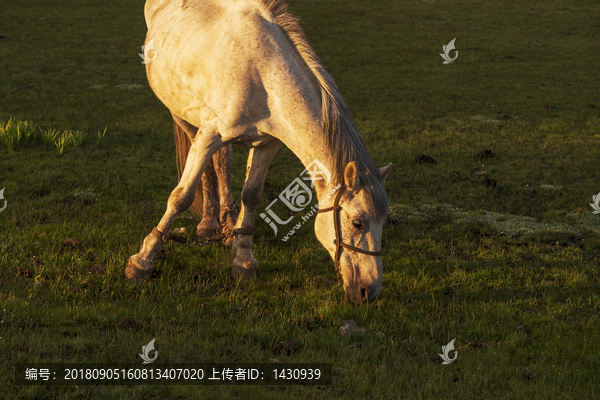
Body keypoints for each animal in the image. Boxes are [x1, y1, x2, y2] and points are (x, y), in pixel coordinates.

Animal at [125, 0, 394, 304]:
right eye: (359, 223)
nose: (369, 290)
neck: (261, 75)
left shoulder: (268, 144)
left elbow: (251, 195)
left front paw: (242, 258)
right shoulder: (208, 136)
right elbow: (180, 197)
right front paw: (142, 260)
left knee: (223, 163)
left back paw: (227, 226)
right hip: (182, 116)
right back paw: (208, 223)